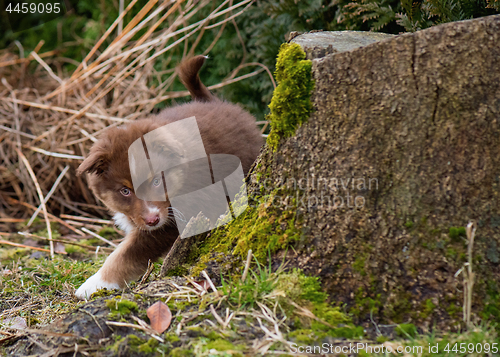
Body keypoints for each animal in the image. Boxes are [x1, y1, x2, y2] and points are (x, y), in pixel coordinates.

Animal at [74, 56, 264, 300]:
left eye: (157, 181)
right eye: (125, 191)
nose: (152, 220)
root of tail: (214, 102)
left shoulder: (172, 222)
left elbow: (126, 253)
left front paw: (93, 284)